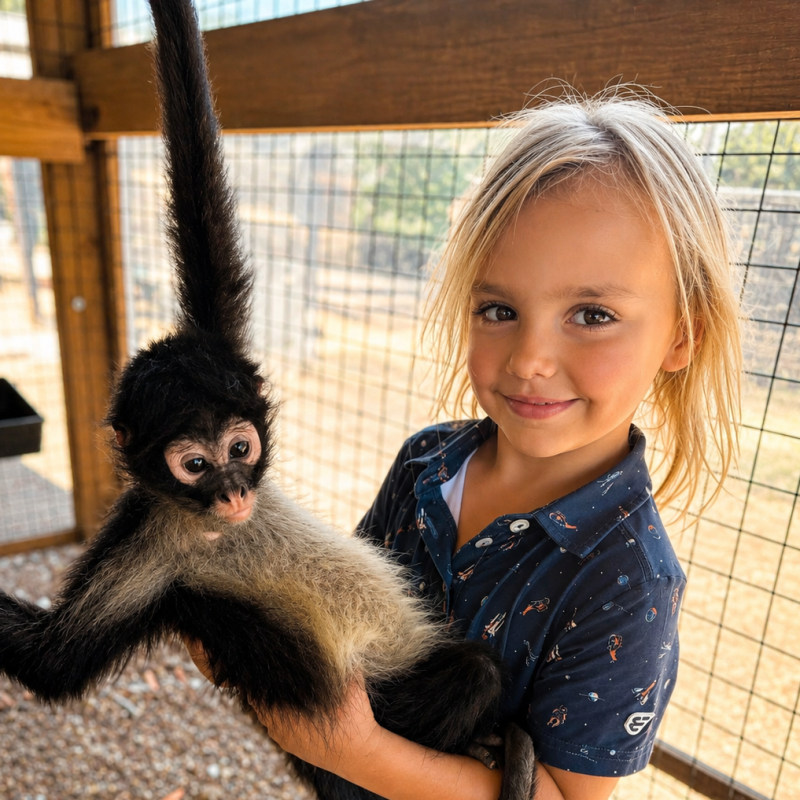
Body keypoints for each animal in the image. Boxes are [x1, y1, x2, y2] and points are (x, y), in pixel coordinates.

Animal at [0, 1, 537, 797]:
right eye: (193, 466)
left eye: (239, 447)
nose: (231, 493)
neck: (210, 529)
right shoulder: (146, 544)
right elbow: (54, 660)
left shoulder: (219, 347)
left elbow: (205, 219)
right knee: (464, 674)